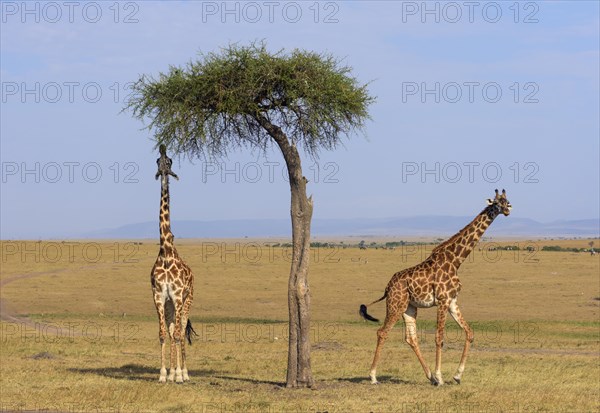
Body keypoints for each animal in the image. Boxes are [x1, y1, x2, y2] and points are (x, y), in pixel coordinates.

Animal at [358, 188, 512, 384]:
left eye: (507, 201)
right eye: (497, 202)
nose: (507, 210)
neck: (456, 261)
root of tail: (387, 287)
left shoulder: (452, 301)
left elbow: (469, 332)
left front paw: (456, 376)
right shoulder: (442, 300)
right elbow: (439, 337)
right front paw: (440, 377)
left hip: (409, 307)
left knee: (411, 338)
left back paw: (429, 376)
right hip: (395, 305)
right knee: (382, 332)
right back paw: (373, 376)